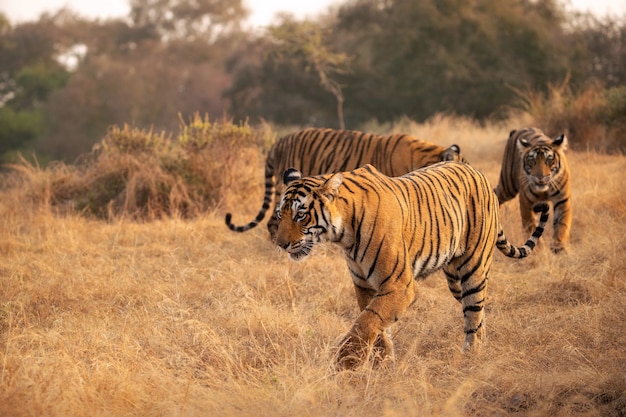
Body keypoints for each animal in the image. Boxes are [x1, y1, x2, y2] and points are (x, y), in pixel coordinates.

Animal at [272, 161, 544, 368]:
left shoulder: (399, 284)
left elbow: (365, 323)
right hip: (455, 279)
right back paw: (481, 344)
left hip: (473, 269)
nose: (280, 244)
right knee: (477, 313)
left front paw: (345, 365)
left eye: (300, 215)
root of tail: (478, 173)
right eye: (279, 214)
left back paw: (471, 356)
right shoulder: (365, 285)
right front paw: (382, 362)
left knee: (474, 313)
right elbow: (375, 323)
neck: (343, 234)